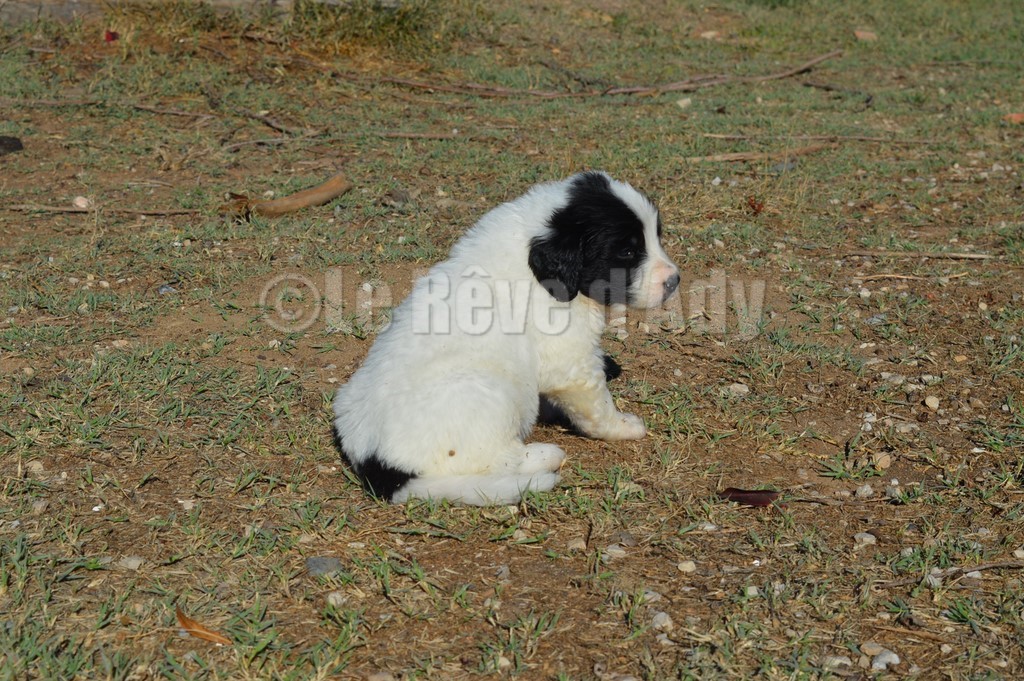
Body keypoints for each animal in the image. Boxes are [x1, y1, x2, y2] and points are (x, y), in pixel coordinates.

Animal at [332, 171, 680, 505]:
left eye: (656, 237)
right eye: (628, 251)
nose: (675, 280)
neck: (535, 262)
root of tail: (383, 471)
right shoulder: (572, 362)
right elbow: (596, 405)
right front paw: (622, 426)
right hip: (490, 394)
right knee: (499, 459)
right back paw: (545, 455)